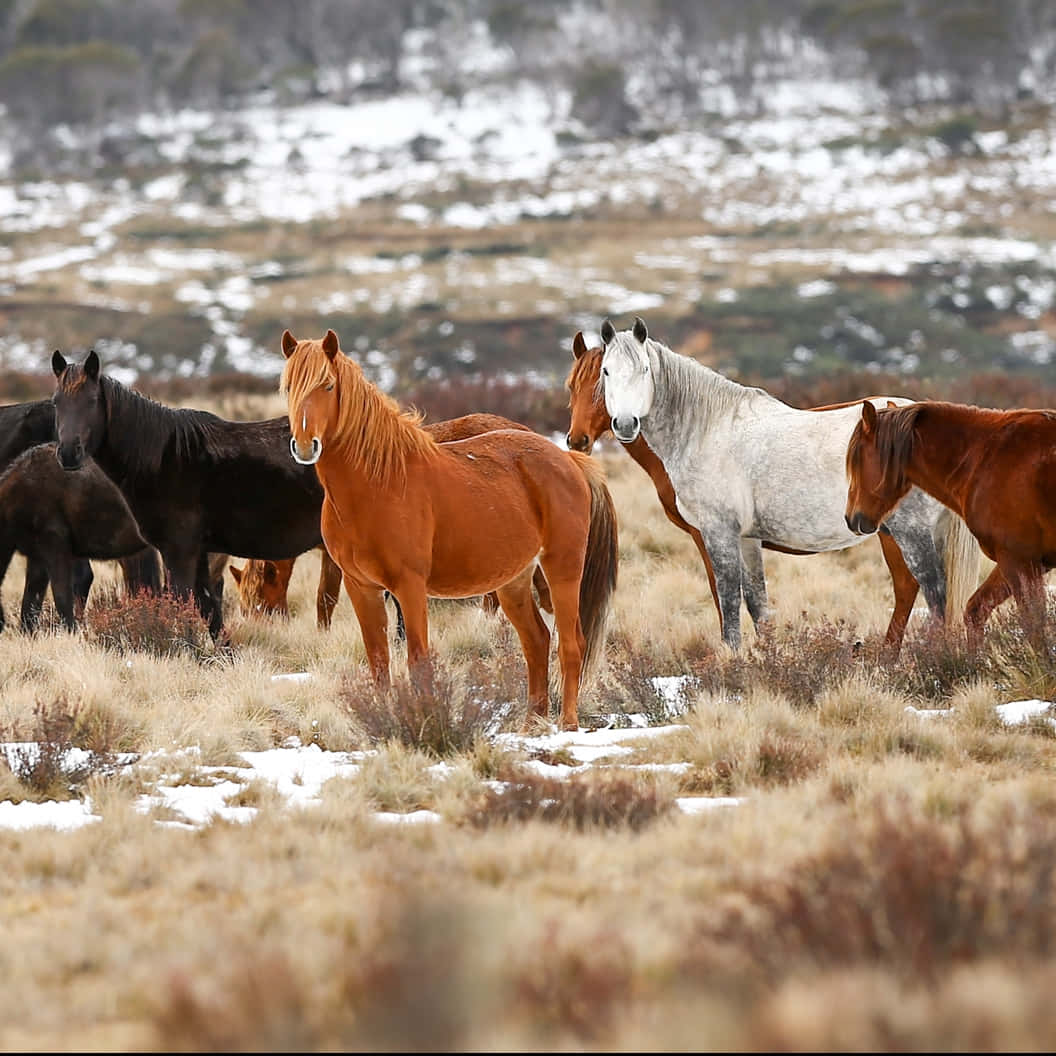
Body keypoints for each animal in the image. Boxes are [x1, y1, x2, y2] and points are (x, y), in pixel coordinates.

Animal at [280, 328, 618, 731]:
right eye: (288, 386)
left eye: (328, 385)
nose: (304, 445)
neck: (379, 482)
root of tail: (569, 460)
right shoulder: (361, 587)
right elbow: (378, 662)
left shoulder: (409, 587)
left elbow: (418, 660)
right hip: (514, 582)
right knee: (536, 641)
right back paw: (530, 726)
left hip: (562, 570)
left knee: (570, 644)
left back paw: (567, 724)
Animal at [565, 332, 973, 651]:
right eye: (576, 384)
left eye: (643, 372)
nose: (577, 440)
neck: (707, 429)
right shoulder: (747, 539)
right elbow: (757, 605)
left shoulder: (713, 534)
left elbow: (726, 601)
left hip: (908, 531)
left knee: (929, 592)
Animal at [845, 399, 1056, 650]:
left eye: (857, 458)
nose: (851, 518)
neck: (987, 456)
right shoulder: (1028, 563)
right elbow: (975, 610)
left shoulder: (1018, 561)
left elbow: (1035, 632)